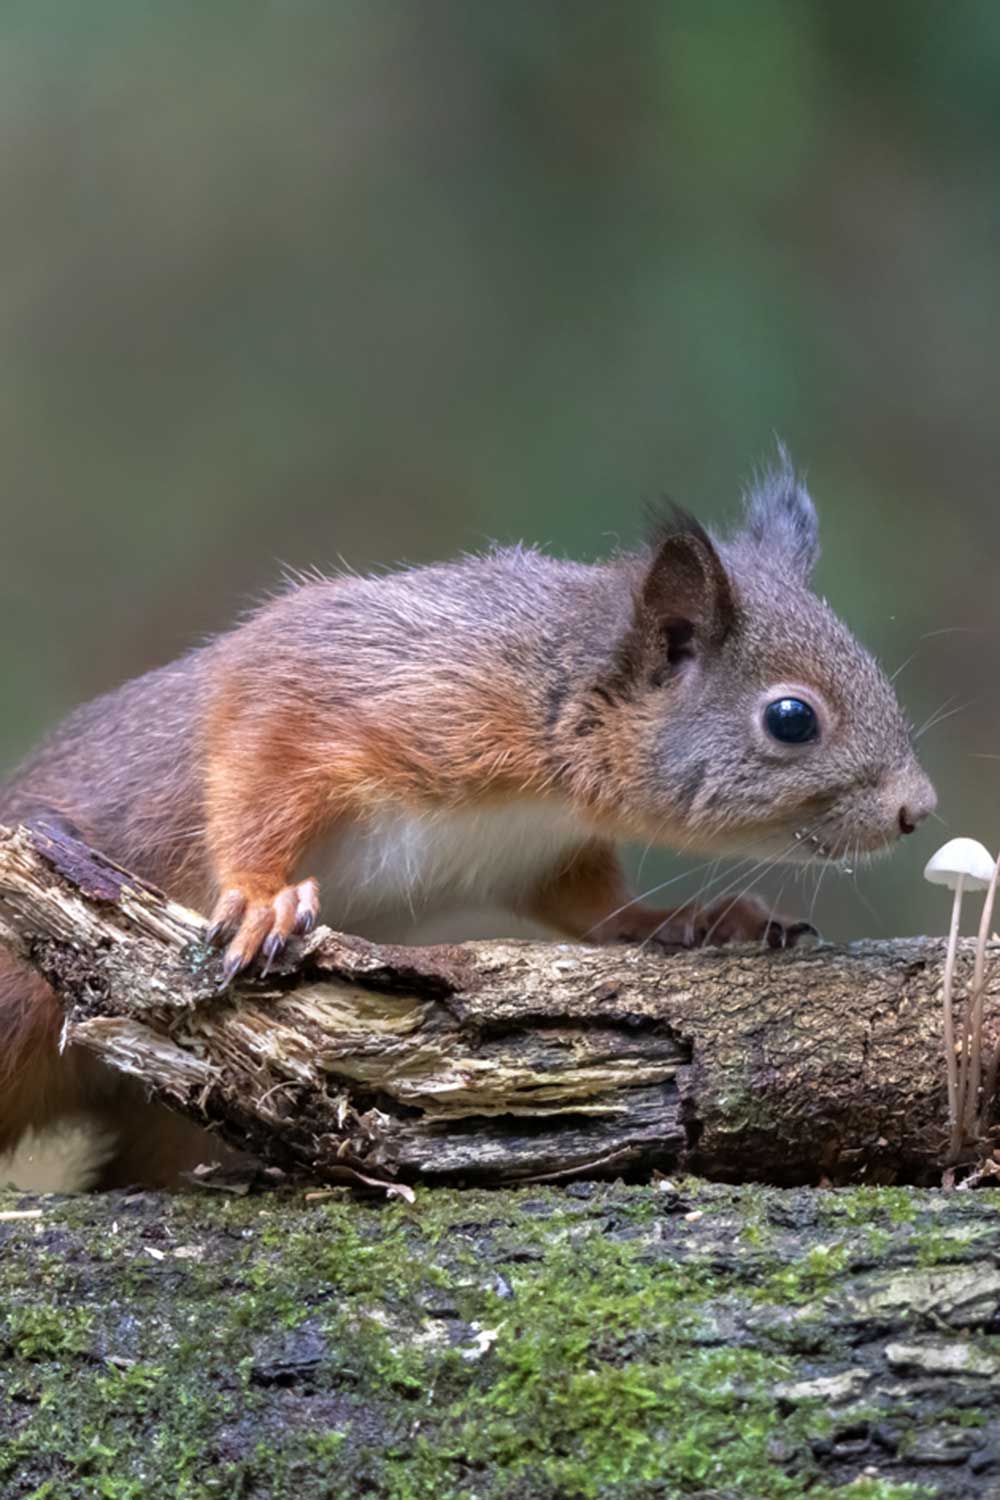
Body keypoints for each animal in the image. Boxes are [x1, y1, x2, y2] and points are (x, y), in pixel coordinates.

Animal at [0, 456, 941, 1182]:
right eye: (791, 719)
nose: (918, 809)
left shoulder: (540, 851)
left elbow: (595, 909)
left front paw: (692, 919)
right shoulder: (337, 690)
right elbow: (253, 772)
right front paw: (263, 896)